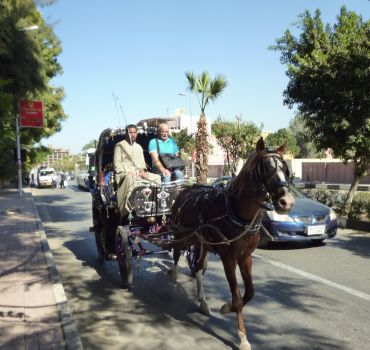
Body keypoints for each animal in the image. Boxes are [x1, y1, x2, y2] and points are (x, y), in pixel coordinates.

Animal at [171, 138, 294, 350]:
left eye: (286, 170)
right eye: (266, 169)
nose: (287, 202)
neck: (237, 212)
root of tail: (186, 189)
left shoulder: (245, 257)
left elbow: (250, 292)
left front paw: (225, 308)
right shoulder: (228, 258)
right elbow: (237, 297)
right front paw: (242, 336)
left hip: (201, 243)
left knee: (198, 267)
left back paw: (203, 302)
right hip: (181, 234)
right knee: (177, 252)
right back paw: (174, 272)